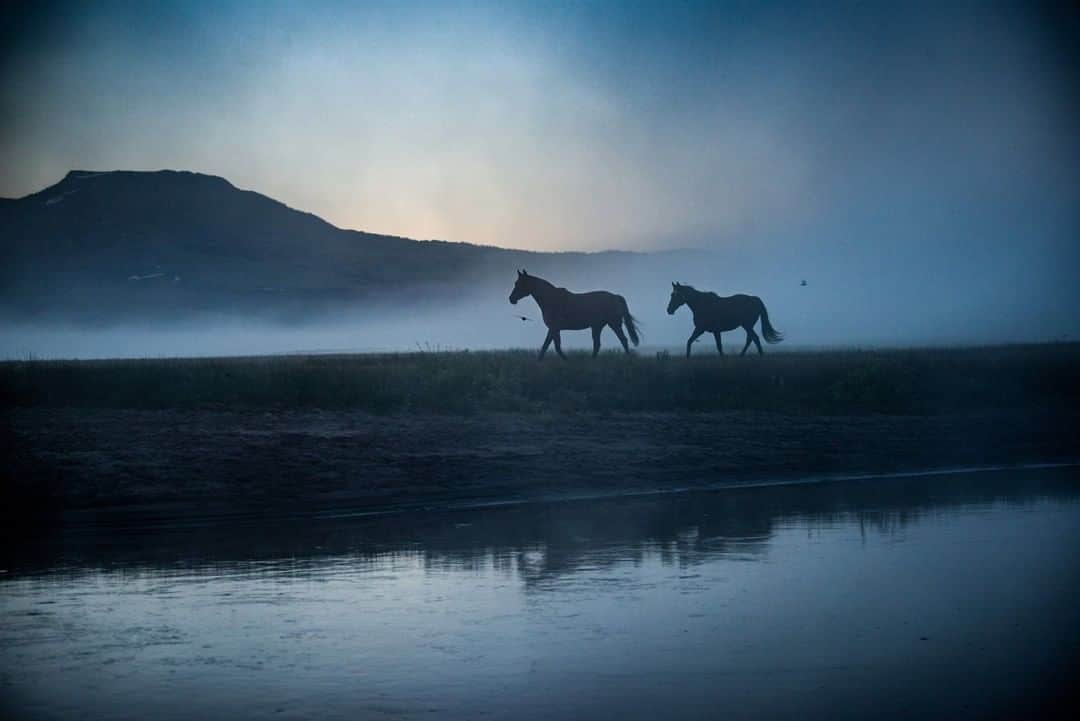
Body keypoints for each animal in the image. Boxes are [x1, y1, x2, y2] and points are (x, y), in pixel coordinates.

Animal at [507, 269, 635, 360]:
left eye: (520, 284)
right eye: (516, 283)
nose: (511, 299)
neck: (551, 299)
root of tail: (616, 296)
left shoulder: (553, 328)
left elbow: (548, 345)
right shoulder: (555, 329)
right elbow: (555, 346)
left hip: (613, 324)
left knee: (623, 340)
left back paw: (628, 359)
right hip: (597, 326)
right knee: (598, 344)